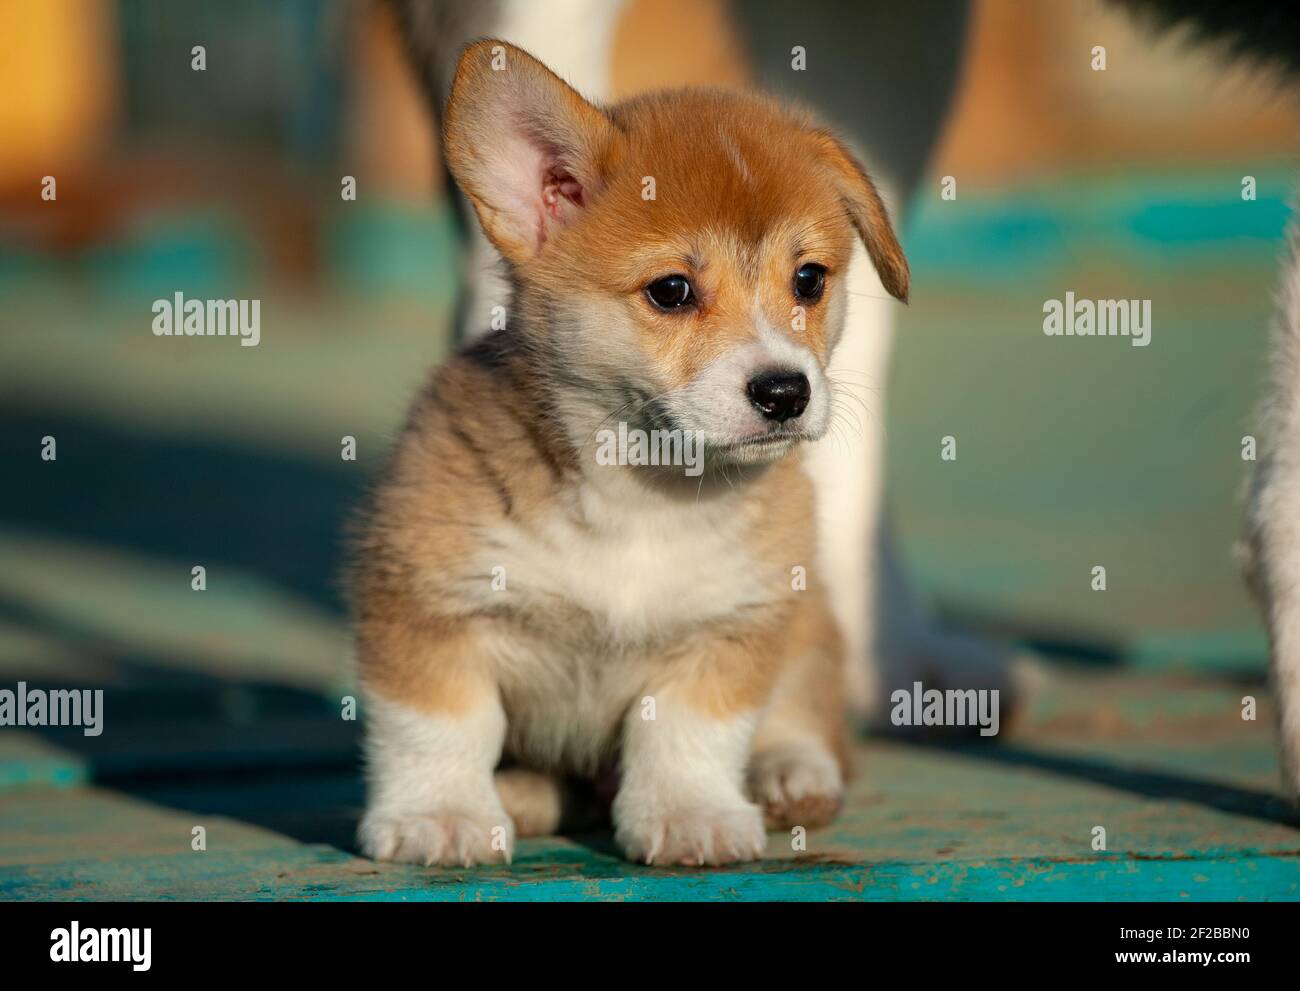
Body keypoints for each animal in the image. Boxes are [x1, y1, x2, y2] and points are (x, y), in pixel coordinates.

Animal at [351, 38, 909, 863]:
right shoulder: (428, 608)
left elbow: (687, 738)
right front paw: (441, 815)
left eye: (808, 279)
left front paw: (691, 814)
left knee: (807, 708)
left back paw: (788, 768)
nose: (785, 392)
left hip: (807, 619)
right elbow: (441, 727)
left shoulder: (728, 628)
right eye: (671, 291)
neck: (641, 493)